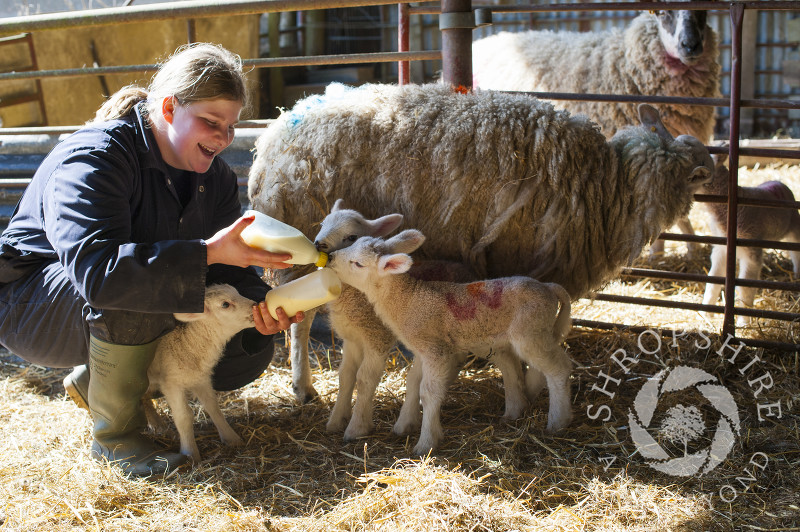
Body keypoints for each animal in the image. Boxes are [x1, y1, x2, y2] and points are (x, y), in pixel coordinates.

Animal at [145, 282, 255, 462]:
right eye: (225, 304)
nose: (255, 306)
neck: (186, 344)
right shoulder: (171, 382)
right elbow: (183, 417)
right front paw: (190, 453)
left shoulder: (200, 379)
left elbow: (214, 408)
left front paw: (232, 438)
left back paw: (157, 424)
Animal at [326, 229, 576, 454]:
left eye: (358, 264)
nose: (330, 258)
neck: (409, 300)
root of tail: (549, 288)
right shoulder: (423, 349)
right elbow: (413, 383)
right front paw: (404, 426)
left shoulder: (436, 351)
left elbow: (428, 392)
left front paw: (426, 443)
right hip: (517, 335)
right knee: (519, 367)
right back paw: (516, 411)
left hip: (530, 332)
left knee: (559, 368)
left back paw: (558, 421)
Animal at [700, 156, 800, 326]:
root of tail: (778, 182)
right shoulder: (721, 248)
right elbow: (713, 279)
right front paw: (706, 313)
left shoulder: (751, 249)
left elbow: (745, 286)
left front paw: (743, 322)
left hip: (794, 224)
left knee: (796, 252)